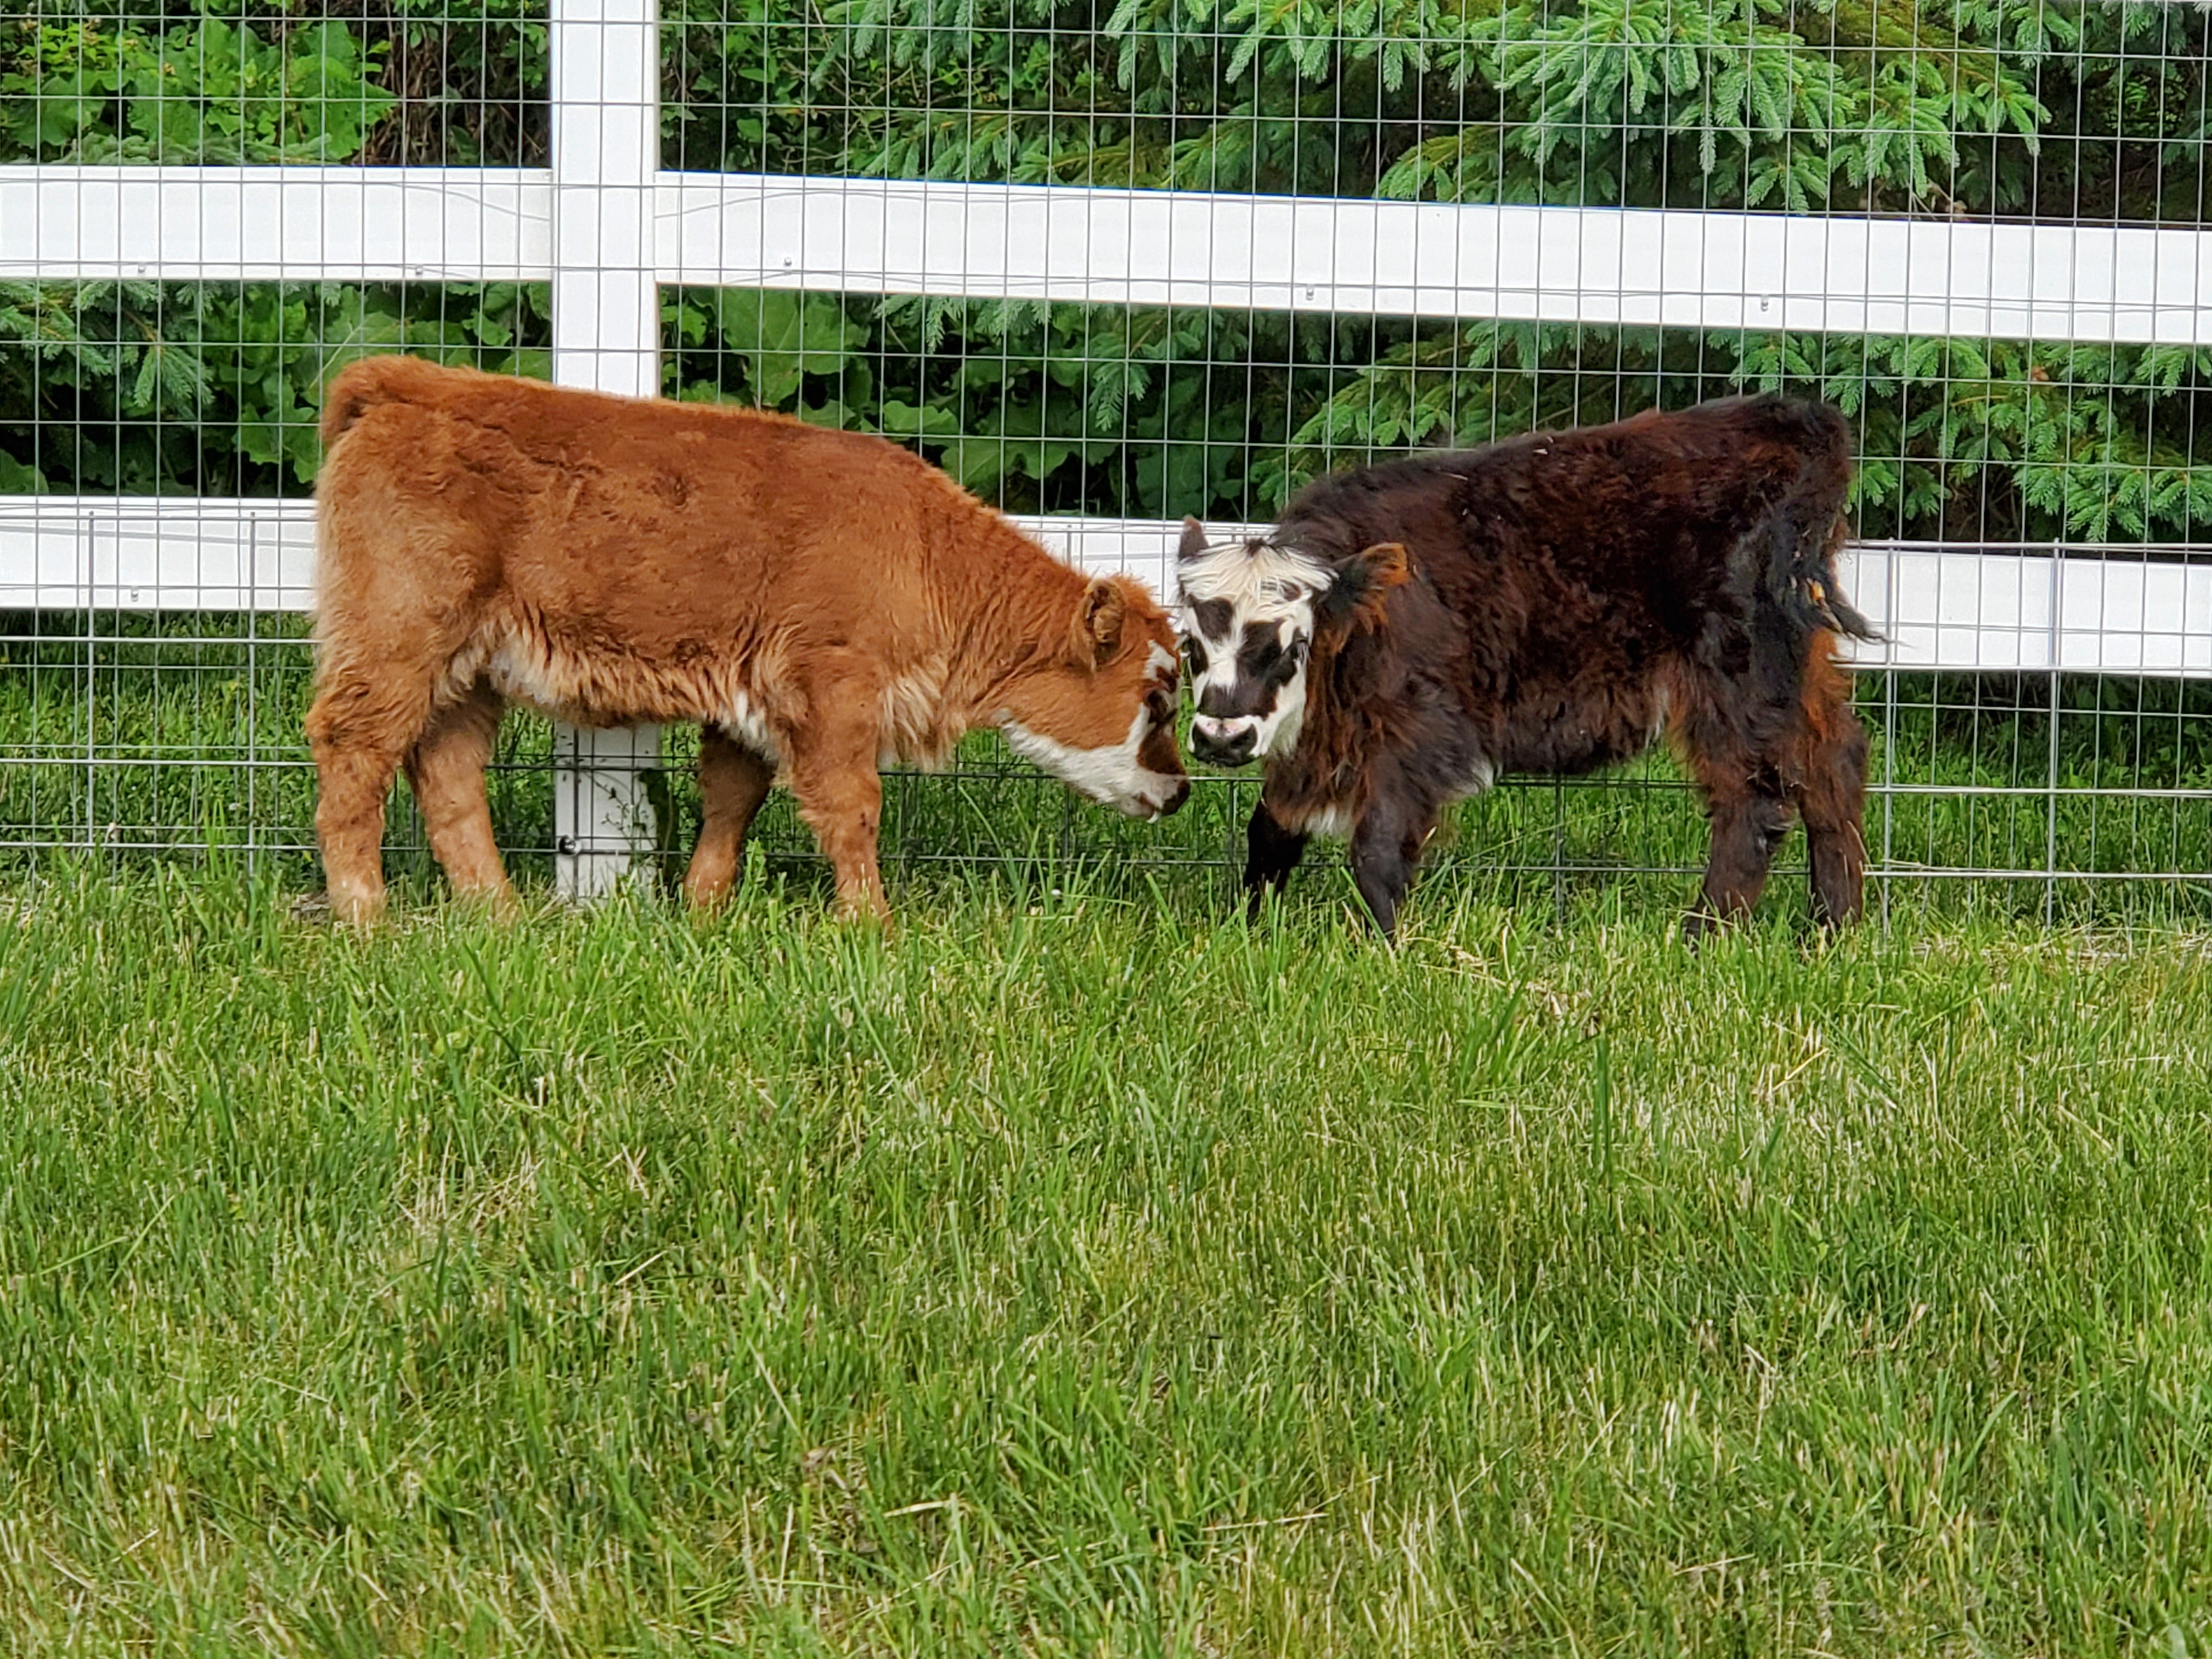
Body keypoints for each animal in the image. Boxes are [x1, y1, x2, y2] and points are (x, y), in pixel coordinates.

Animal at [306, 356, 1189, 927]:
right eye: (1155, 695)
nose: (1181, 791)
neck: (926, 554)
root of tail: (408, 384)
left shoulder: (750, 700)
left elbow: (733, 798)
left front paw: (702, 912)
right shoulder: (833, 688)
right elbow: (853, 807)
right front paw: (874, 927)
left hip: (469, 668)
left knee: (447, 774)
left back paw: (501, 916)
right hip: (397, 639)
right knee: (355, 751)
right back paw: (366, 915)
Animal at [1175, 394, 1874, 943]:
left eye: (1289, 648)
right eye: (1191, 648)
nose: (1221, 738)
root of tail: (1792, 419)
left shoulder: (1419, 735)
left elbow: (1376, 851)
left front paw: (1387, 949)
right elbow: (1269, 832)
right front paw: (1246, 928)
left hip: (1736, 676)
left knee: (1754, 803)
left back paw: (1703, 935)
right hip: (1796, 670)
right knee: (1834, 768)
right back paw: (1830, 930)